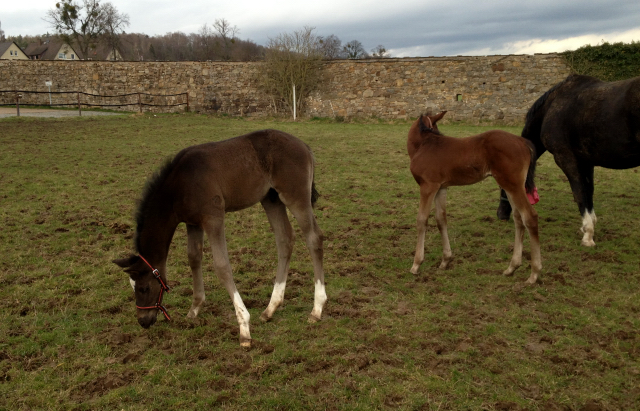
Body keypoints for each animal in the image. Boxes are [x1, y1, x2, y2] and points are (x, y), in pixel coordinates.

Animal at [498, 74, 640, 246]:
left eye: (503, 186)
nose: (500, 215)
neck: (551, 108)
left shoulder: (566, 159)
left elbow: (579, 192)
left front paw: (588, 235)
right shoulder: (586, 162)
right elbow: (588, 192)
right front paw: (588, 226)